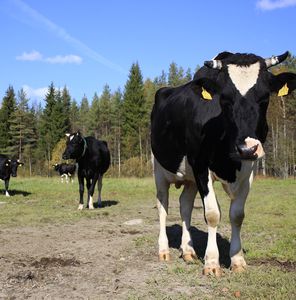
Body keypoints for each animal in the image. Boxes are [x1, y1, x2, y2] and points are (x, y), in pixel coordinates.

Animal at [151, 50, 294, 276]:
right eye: (225, 100)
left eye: (264, 99)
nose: (247, 148)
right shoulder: (201, 166)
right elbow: (212, 214)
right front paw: (211, 262)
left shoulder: (249, 170)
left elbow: (237, 215)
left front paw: (237, 260)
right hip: (159, 168)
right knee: (162, 205)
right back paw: (164, 250)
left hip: (190, 177)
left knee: (185, 205)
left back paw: (188, 251)